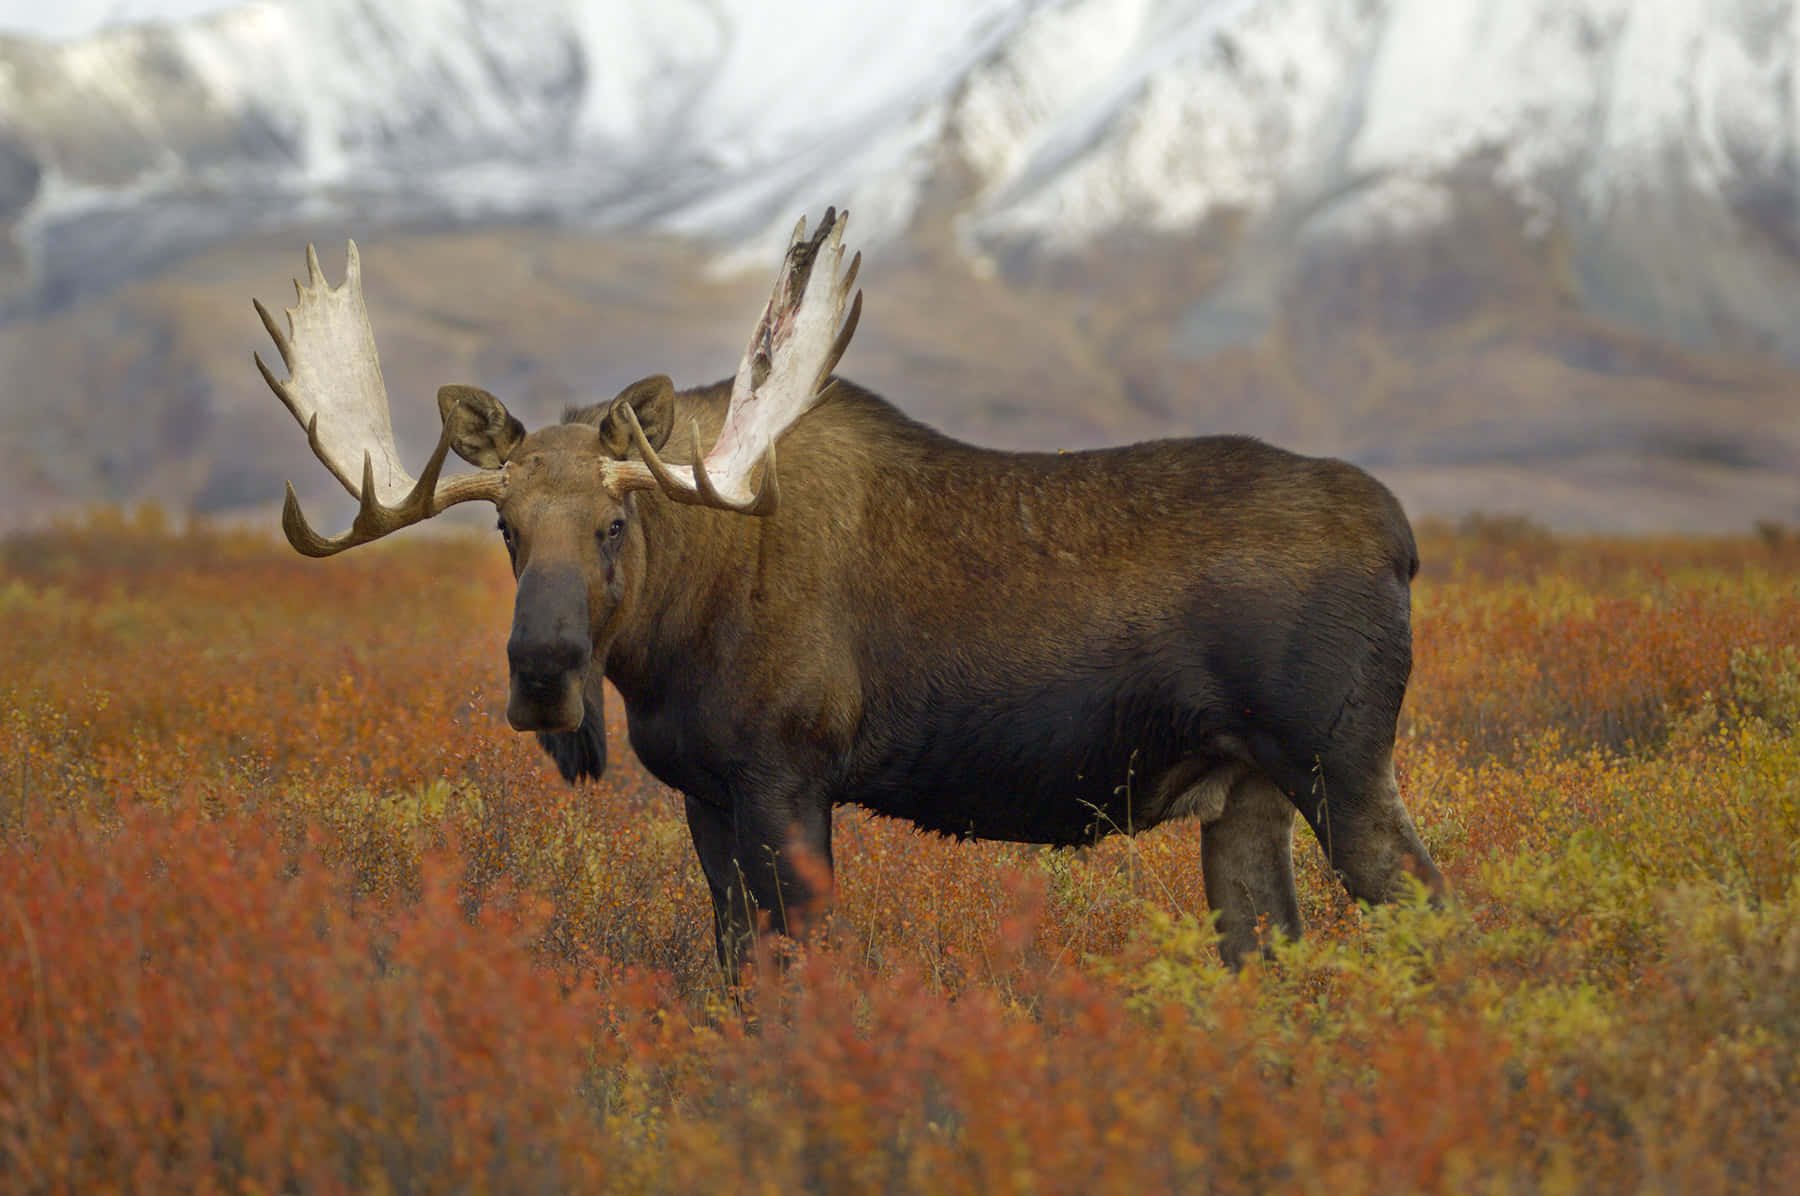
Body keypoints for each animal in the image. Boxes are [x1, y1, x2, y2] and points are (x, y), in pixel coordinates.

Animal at [253, 208, 1440, 972]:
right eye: (503, 526)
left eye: (613, 521)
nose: (543, 674)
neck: (668, 642)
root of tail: (1402, 537)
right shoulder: (706, 793)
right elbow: (735, 965)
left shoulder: (788, 776)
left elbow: (793, 971)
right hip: (1245, 795)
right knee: (1275, 950)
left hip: (1338, 761)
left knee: (1430, 910)